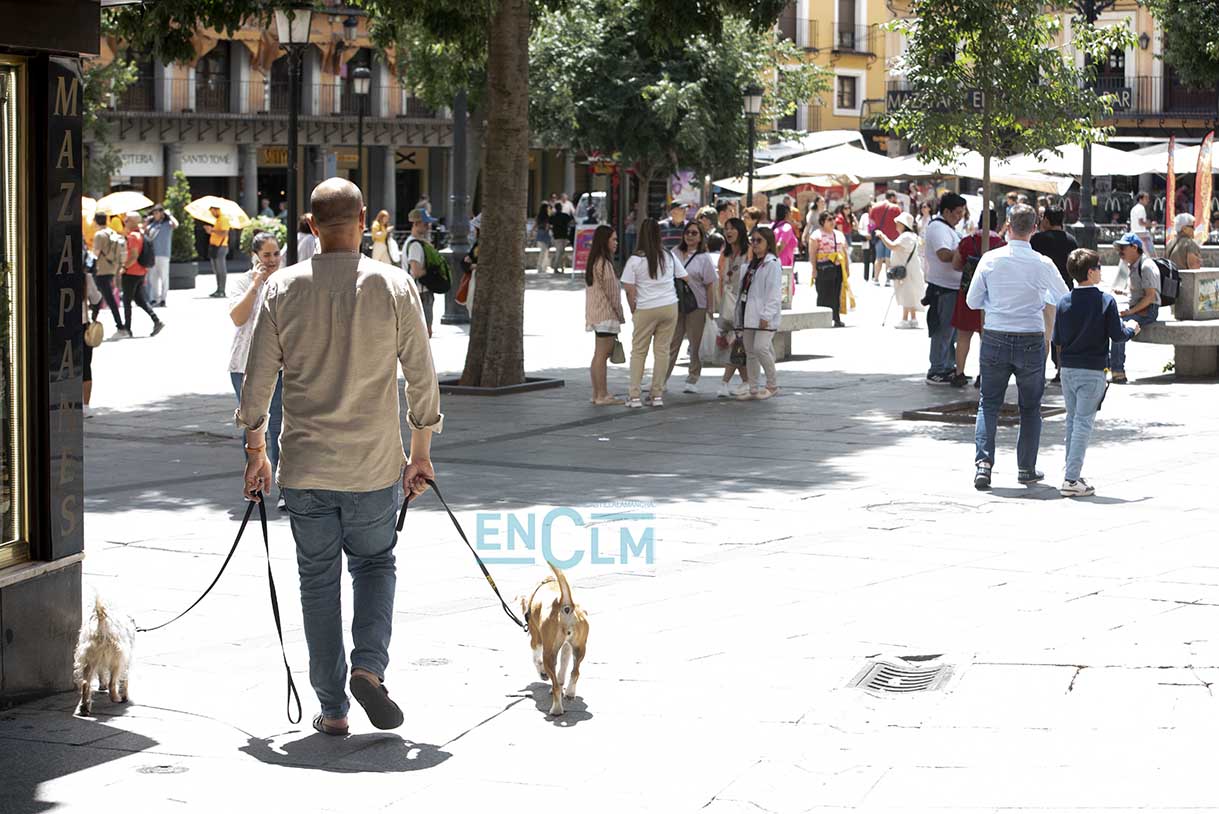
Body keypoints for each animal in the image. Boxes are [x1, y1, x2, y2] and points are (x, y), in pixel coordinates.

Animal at [516, 562, 587, 716]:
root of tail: (565, 605)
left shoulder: (536, 640)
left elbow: (536, 660)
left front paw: (542, 673)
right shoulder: (566, 646)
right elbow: (563, 666)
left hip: (548, 653)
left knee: (555, 685)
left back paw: (556, 709)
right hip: (580, 649)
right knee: (575, 672)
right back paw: (570, 693)